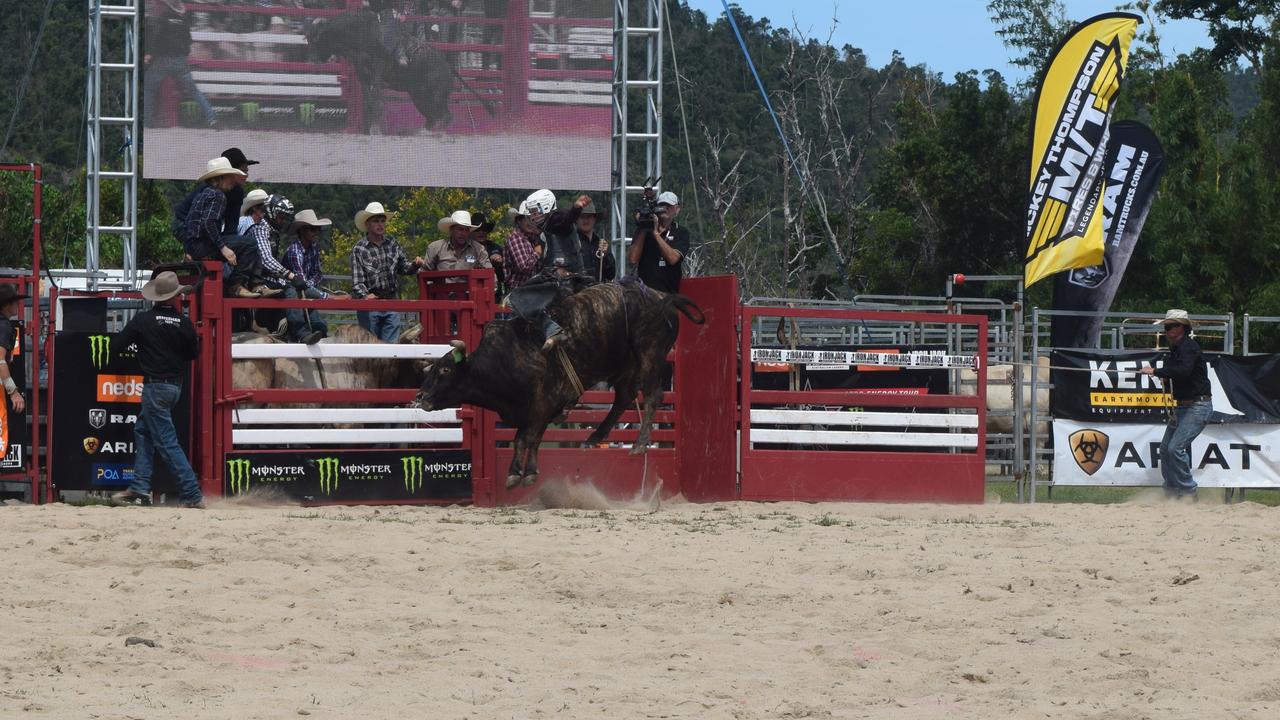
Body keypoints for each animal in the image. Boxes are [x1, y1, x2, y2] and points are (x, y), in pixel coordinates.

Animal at [414, 280, 706, 486]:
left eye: (445, 370)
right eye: (432, 369)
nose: (420, 397)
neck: (506, 357)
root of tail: (664, 297)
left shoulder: (544, 403)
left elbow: (530, 438)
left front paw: (528, 473)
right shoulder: (531, 410)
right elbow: (521, 439)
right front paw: (515, 474)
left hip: (649, 353)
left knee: (652, 396)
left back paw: (639, 444)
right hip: (624, 366)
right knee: (623, 398)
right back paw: (594, 437)